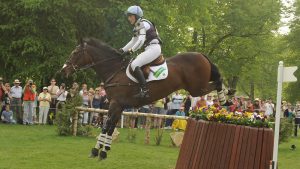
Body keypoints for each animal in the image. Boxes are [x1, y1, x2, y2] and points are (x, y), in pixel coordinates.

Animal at [59, 38, 231, 160]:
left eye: (75, 53)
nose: (63, 70)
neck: (114, 70)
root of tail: (201, 55)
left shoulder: (115, 104)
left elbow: (106, 126)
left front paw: (96, 151)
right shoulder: (118, 106)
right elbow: (111, 127)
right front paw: (104, 151)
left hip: (196, 89)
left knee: (218, 81)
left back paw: (224, 101)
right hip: (197, 87)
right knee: (218, 80)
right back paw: (227, 101)